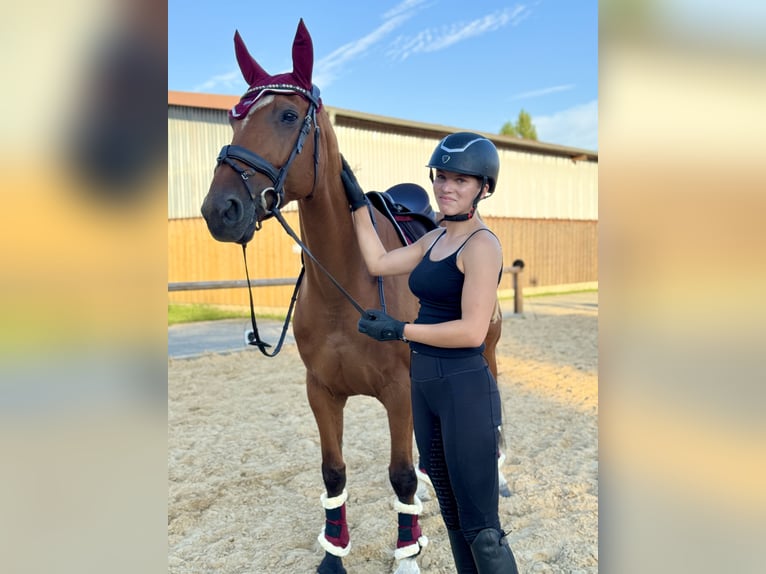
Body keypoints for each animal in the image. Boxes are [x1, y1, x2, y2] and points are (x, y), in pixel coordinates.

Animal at [201, 19, 508, 574]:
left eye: (287, 115)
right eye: (235, 120)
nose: (221, 210)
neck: (343, 282)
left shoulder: (399, 391)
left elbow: (400, 474)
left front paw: (406, 554)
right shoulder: (322, 391)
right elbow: (334, 472)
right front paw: (333, 553)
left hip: (486, 354)